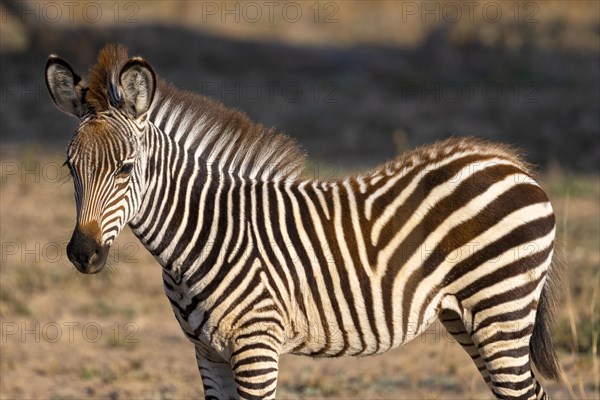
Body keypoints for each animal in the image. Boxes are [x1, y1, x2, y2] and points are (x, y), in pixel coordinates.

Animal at [47, 43, 564, 400]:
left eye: (125, 169)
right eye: (70, 168)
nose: (82, 255)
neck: (204, 235)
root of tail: (507, 160)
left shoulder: (256, 346)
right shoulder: (207, 352)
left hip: (501, 309)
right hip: (468, 318)